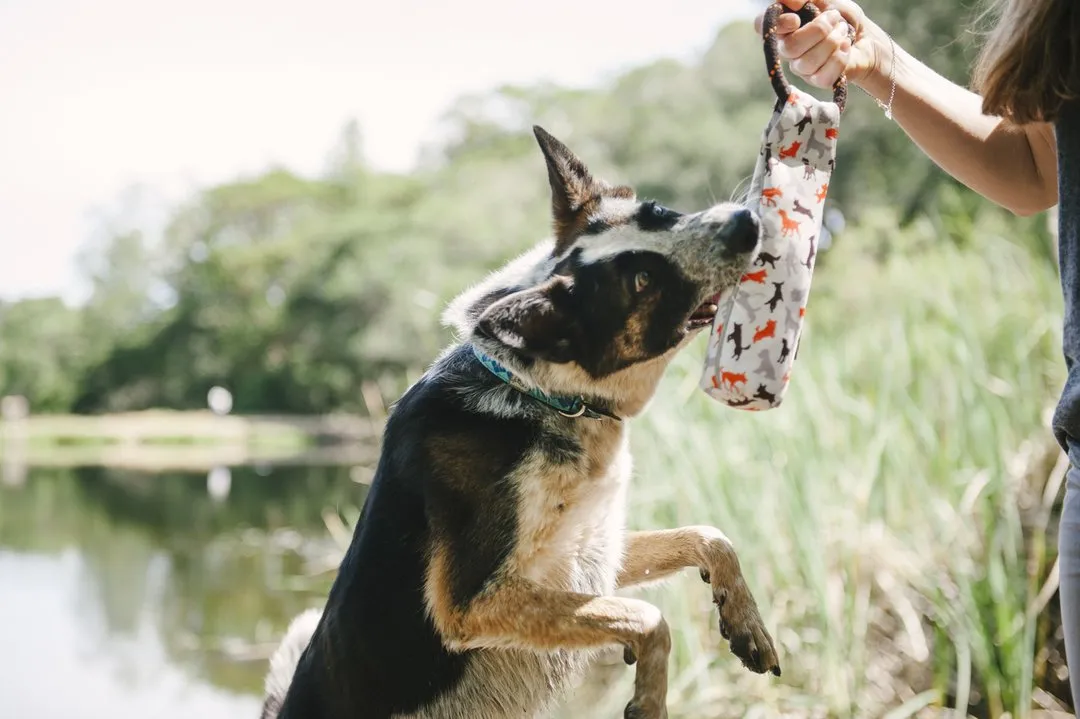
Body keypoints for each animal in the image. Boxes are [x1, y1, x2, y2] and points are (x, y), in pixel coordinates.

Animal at [261, 125, 786, 712]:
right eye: (643, 281)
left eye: (657, 213)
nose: (747, 223)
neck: (539, 394)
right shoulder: (474, 604)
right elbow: (649, 616)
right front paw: (650, 701)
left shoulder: (593, 553)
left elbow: (710, 535)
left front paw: (746, 623)